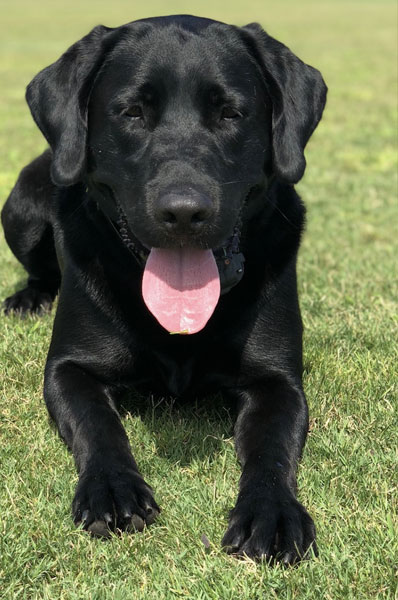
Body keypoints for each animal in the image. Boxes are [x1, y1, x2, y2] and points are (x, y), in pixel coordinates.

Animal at [2, 16, 326, 564]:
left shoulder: (278, 382)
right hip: (21, 207)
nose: (183, 212)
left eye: (230, 113)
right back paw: (27, 299)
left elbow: (274, 451)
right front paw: (113, 489)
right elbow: (99, 424)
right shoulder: (68, 369)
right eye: (133, 112)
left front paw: (273, 514)